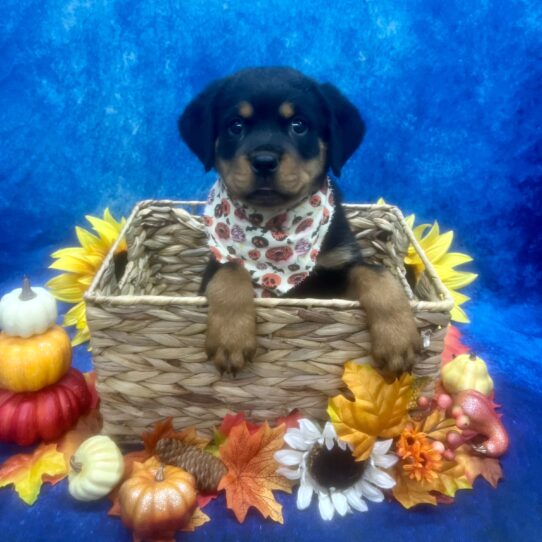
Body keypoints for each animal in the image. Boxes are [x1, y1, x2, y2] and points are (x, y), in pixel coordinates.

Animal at [181, 67, 422, 378]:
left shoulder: (336, 272)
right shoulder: (216, 264)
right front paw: (231, 338)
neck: (274, 225)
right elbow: (231, 270)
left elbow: (375, 273)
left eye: (299, 125)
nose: (264, 160)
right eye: (236, 125)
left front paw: (398, 338)